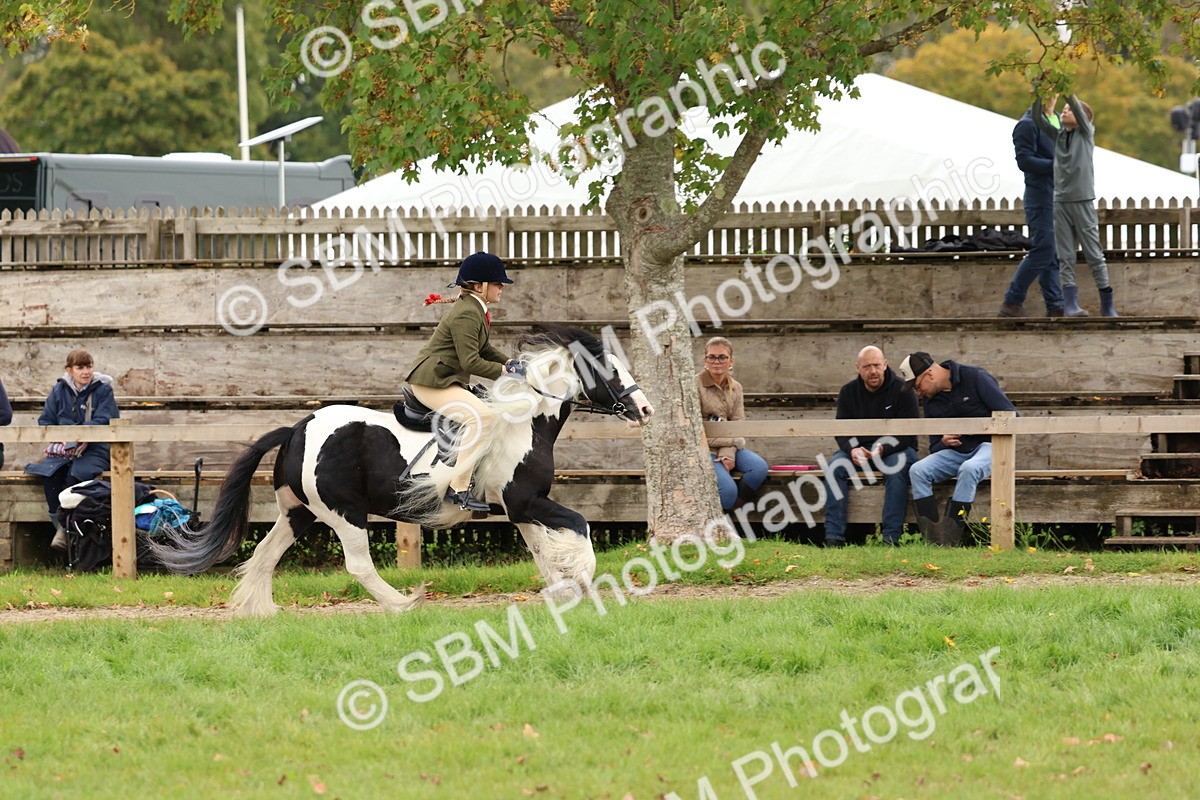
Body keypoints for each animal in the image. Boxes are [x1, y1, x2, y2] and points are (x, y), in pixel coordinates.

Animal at [146, 326, 654, 616]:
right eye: (610, 371)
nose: (645, 410)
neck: (522, 421)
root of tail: (298, 427)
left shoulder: (520, 510)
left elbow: (544, 555)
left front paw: (565, 593)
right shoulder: (526, 502)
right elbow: (579, 526)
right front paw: (586, 580)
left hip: (298, 512)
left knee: (266, 554)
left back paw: (260, 611)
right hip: (344, 512)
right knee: (358, 565)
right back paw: (403, 602)